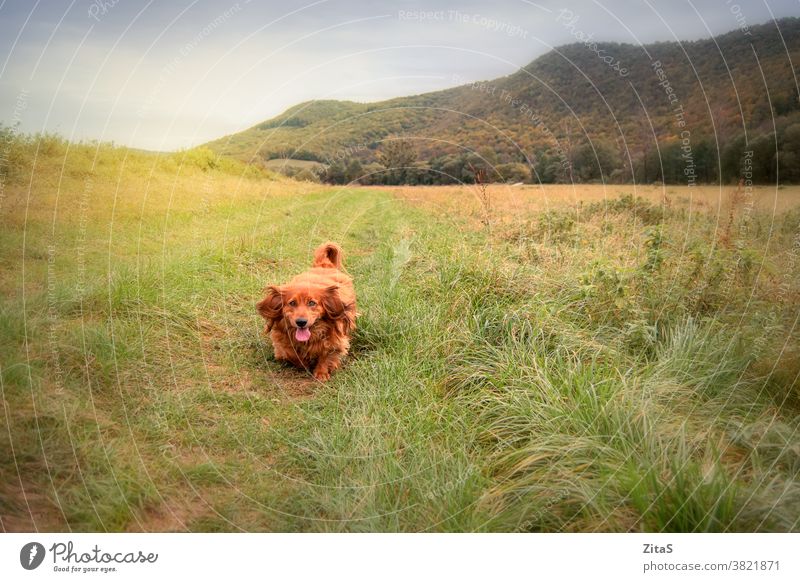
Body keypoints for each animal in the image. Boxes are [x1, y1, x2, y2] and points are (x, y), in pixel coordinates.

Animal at [256, 243, 356, 384]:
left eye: (312, 303)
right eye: (292, 303)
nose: (301, 322)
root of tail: (324, 265)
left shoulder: (335, 339)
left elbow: (326, 354)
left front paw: (321, 373)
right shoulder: (281, 339)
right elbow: (291, 354)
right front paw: (304, 364)